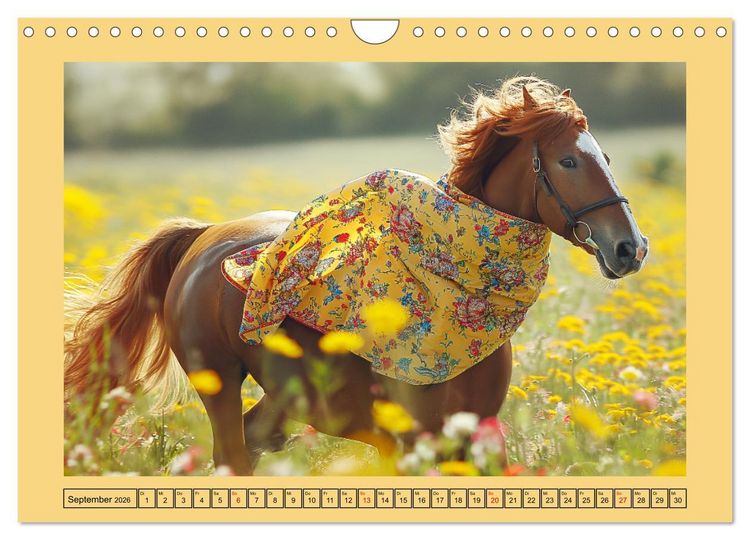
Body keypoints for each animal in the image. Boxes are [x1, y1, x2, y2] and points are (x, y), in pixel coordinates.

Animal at [64, 76, 649, 475]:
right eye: (569, 162)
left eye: (606, 156)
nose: (630, 247)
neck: (450, 290)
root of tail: (204, 237)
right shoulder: (414, 441)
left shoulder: (474, 438)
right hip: (219, 382)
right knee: (232, 455)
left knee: (253, 441)